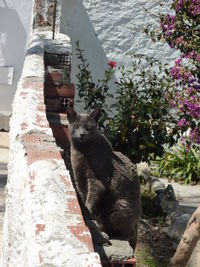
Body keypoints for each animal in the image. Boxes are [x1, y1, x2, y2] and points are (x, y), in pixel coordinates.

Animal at [66, 108, 141, 250]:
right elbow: (84, 197)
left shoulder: (97, 180)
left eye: (88, 127)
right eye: (76, 126)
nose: (82, 134)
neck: (81, 152)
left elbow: (90, 199)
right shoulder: (79, 179)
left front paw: (87, 212)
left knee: (121, 232)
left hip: (121, 206)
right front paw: (85, 213)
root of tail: (137, 225)